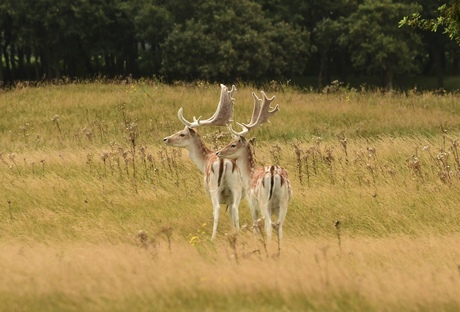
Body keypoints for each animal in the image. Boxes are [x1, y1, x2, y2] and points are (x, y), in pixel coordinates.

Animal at [164, 84, 246, 240]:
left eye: (182, 134)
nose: (165, 139)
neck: (205, 160)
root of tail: (224, 163)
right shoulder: (230, 196)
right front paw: (234, 231)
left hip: (214, 187)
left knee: (217, 209)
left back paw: (212, 238)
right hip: (236, 187)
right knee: (236, 209)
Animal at [216, 89, 292, 254]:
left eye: (233, 144)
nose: (218, 152)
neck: (249, 174)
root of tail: (273, 173)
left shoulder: (251, 203)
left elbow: (255, 226)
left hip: (264, 202)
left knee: (269, 226)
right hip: (284, 201)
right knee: (279, 226)